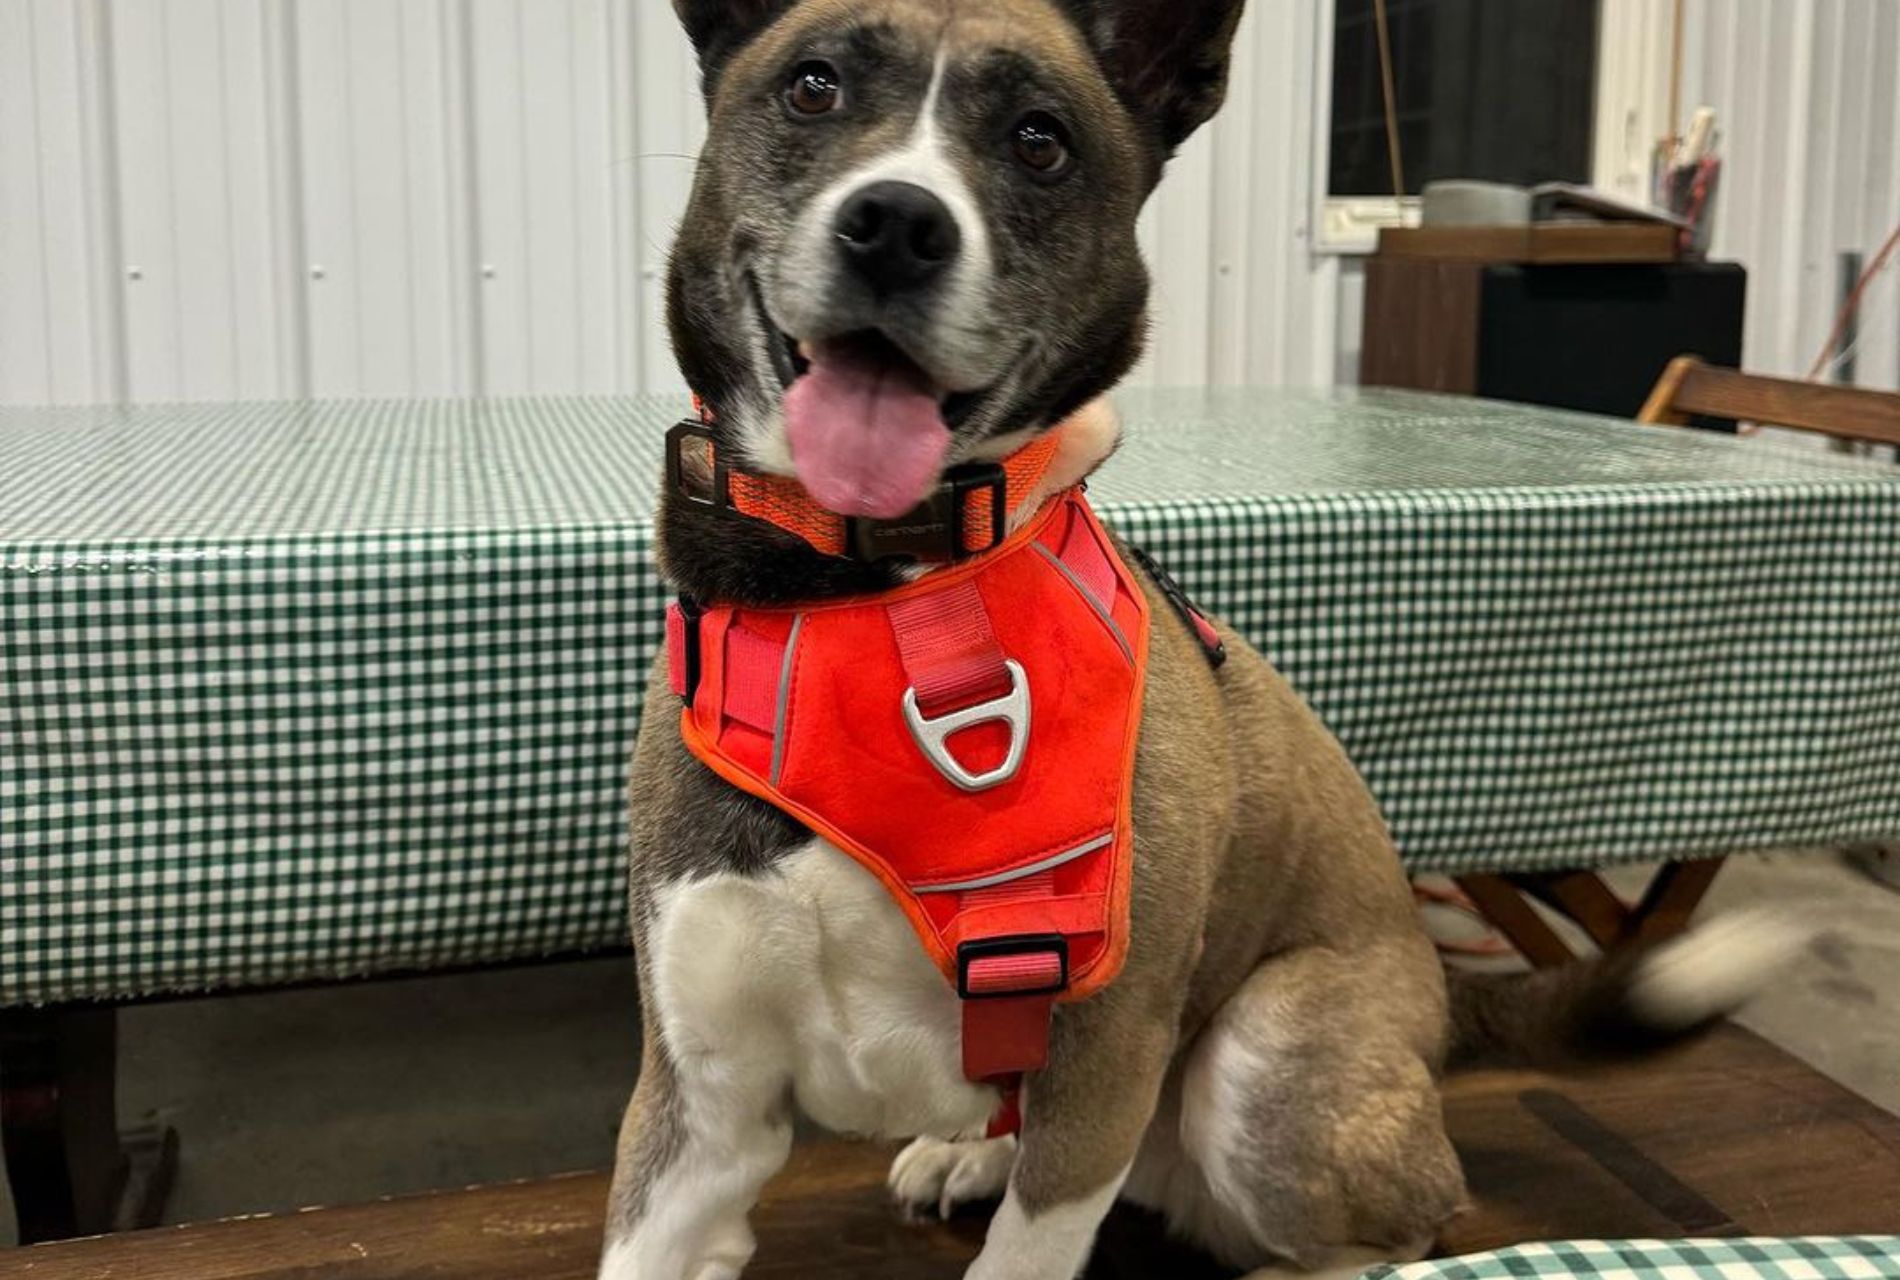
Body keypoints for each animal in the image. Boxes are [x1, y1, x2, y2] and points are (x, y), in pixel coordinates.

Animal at [600, 4, 1801, 1268]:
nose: (896, 225)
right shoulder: (698, 1108)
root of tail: (1437, 1004)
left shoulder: (1105, 1059)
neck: (876, 591)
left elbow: (1030, 1238)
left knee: (1411, 1215)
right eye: (813, 85)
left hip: (1261, 1055)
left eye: (1040, 140)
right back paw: (968, 1151)